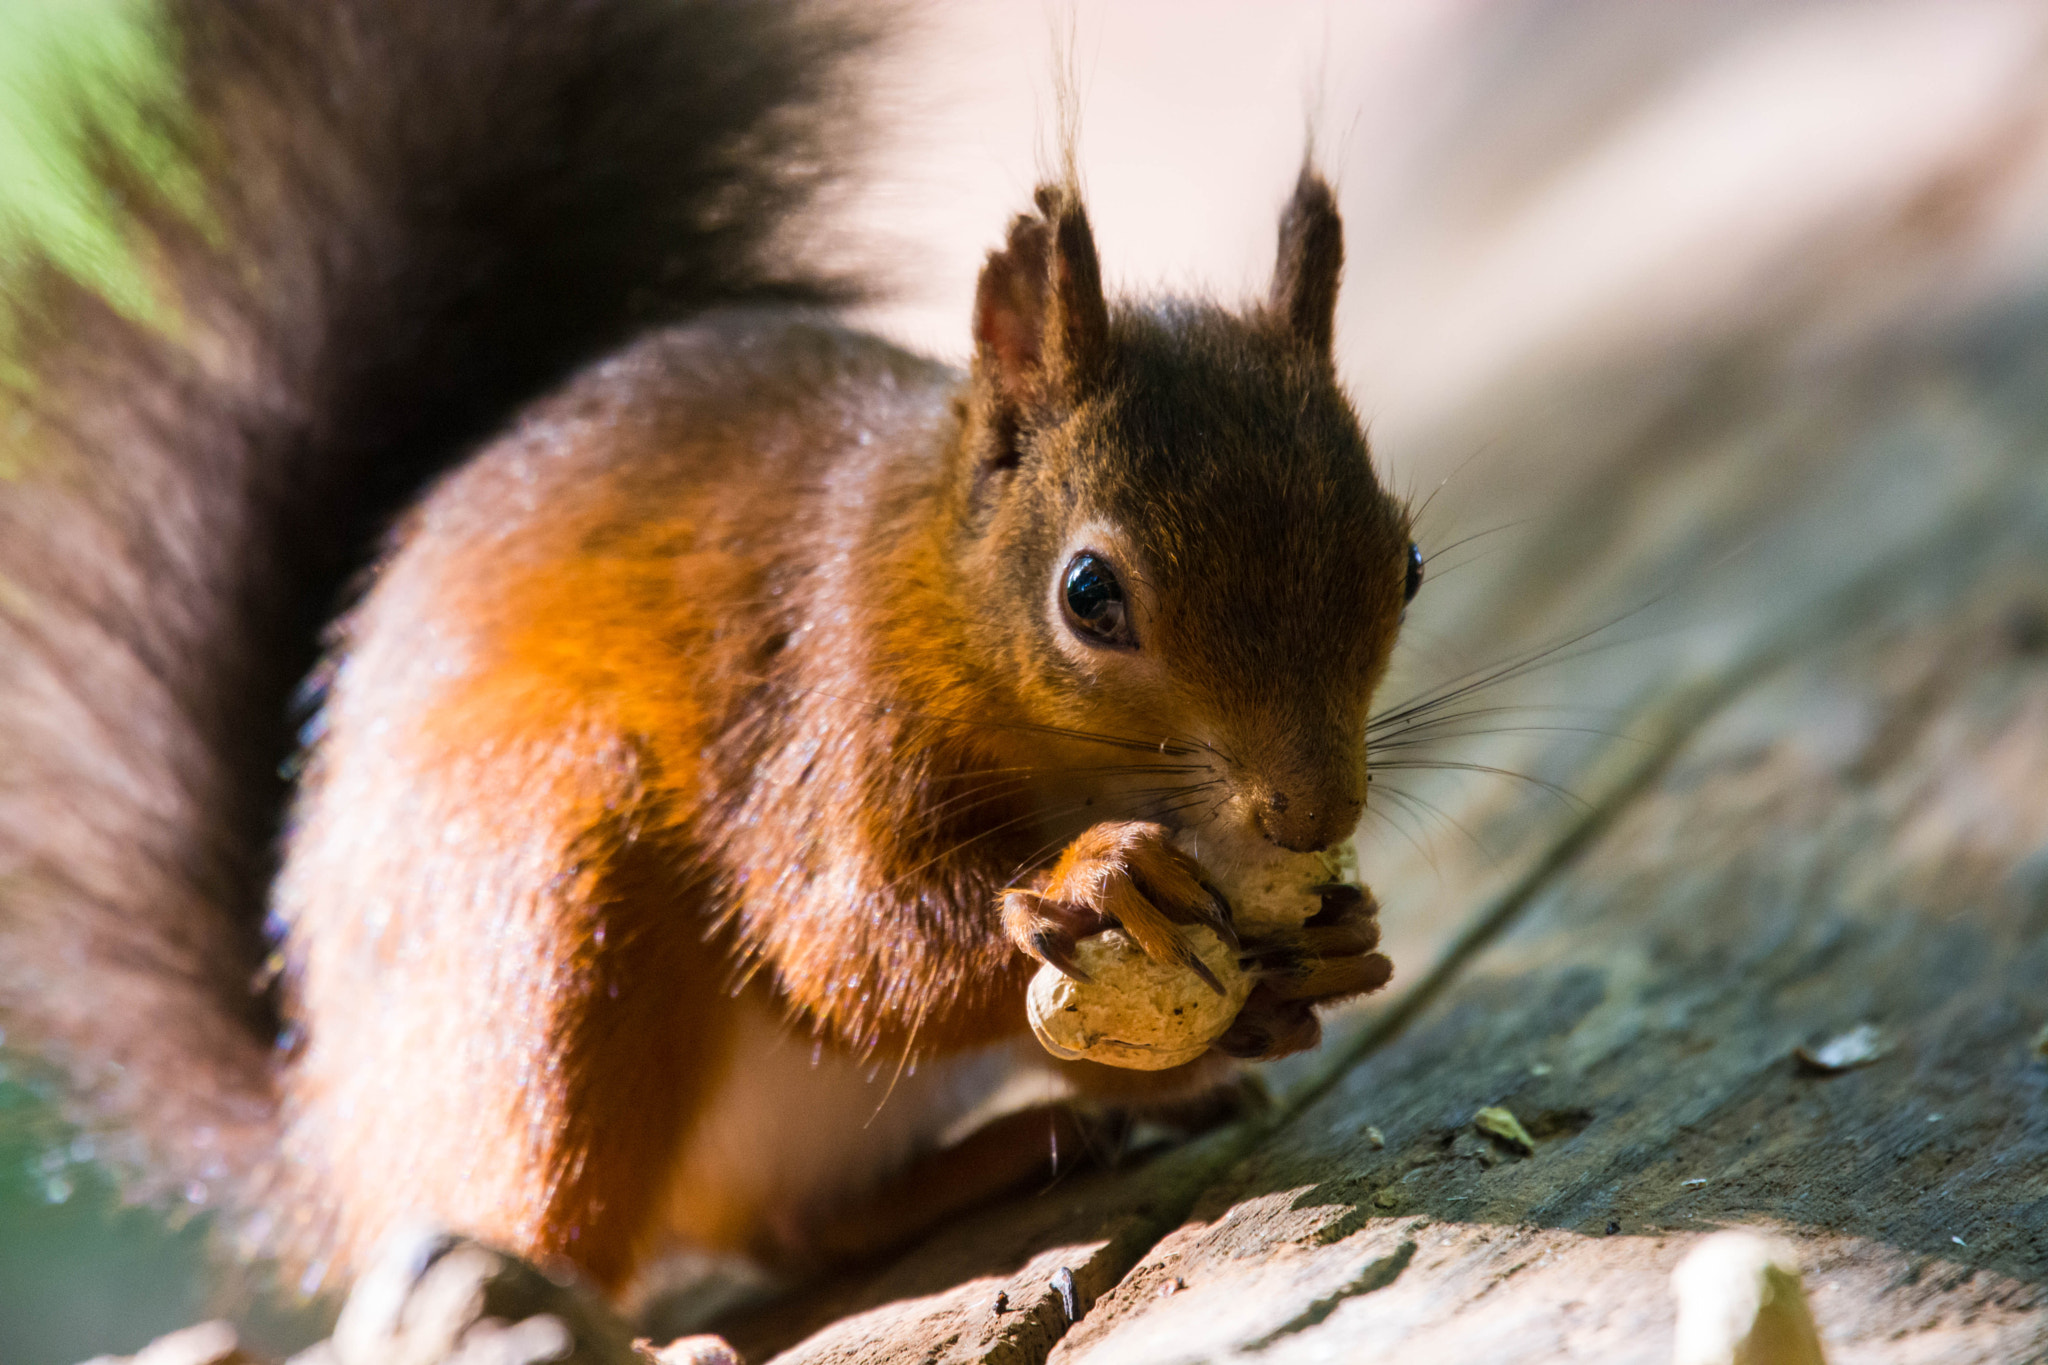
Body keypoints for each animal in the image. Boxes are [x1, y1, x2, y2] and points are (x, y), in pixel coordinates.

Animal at [0, 0, 1414, 1317]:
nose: (1312, 814)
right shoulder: (816, 696)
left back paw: (1079, 1125)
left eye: (1402, 561)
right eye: (1088, 597)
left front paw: (1331, 950)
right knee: (581, 1215)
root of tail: (338, 1141)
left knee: (801, 1231)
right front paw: (1090, 879)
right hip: (547, 893)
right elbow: (840, 939)